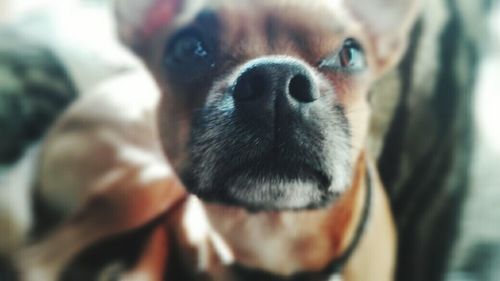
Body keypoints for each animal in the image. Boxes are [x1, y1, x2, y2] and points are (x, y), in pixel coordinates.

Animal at [15, 0, 422, 280]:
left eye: (350, 53)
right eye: (186, 49)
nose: (275, 81)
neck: (273, 231)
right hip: (150, 183)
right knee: (34, 258)